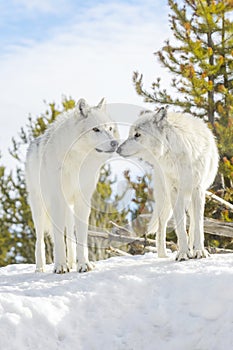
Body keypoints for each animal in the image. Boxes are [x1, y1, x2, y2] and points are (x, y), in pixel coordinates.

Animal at [26, 98, 118, 274]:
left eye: (110, 128)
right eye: (95, 129)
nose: (115, 143)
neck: (77, 160)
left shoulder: (83, 201)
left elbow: (80, 236)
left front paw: (84, 265)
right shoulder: (56, 200)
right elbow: (57, 238)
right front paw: (60, 266)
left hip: (69, 207)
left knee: (70, 237)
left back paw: (72, 263)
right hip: (39, 208)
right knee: (39, 240)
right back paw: (40, 268)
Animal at [117, 108, 219, 260]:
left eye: (137, 135)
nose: (117, 149)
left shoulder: (198, 189)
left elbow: (198, 226)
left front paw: (199, 251)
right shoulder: (174, 191)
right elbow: (180, 226)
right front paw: (182, 253)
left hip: (190, 198)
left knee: (193, 222)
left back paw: (192, 249)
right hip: (165, 201)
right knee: (161, 225)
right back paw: (163, 256)